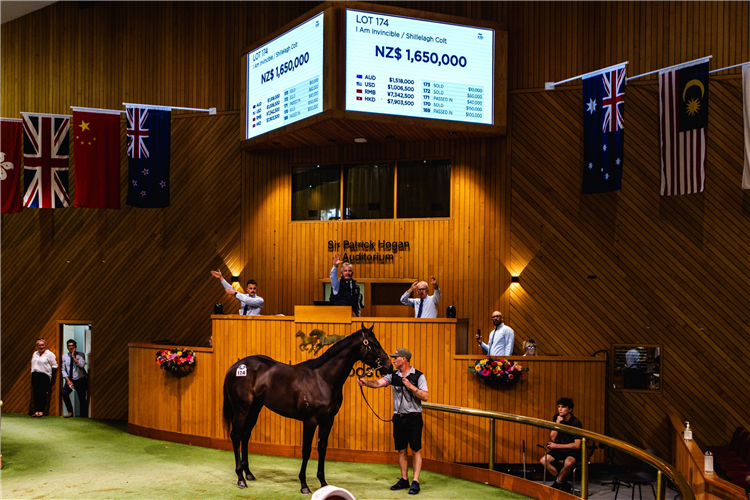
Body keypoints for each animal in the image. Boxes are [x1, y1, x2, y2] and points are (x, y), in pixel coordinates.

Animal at [222, 324, 394, 492]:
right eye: (374, 344)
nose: (389, 367)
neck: (322, 379)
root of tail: (234, 368)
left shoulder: (327, 420)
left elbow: (322, 448)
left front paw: (323, 482)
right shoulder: (310, 421)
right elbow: (306, 450)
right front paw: (304, 485)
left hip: (254, 409)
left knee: (245, 435)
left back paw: (248, 473)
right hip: (241, 410)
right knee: (236, 436)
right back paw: (241, 479)